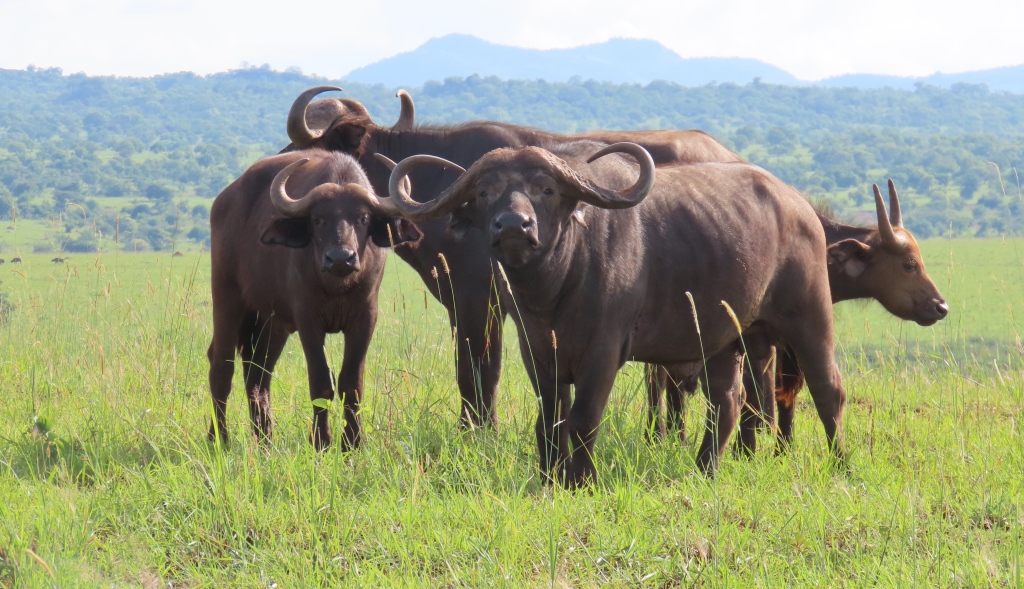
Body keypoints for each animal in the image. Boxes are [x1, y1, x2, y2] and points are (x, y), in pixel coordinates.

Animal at [206, 149, 419, 448]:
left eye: (363, 218)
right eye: (318, 219)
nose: (340, 258)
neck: (337, 286)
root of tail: (224, 201)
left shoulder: (365, 318)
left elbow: (352, 383)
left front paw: (352, 443)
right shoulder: (308, 319)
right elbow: (320, 381)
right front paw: (321, 441)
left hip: (272, 322)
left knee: (258, 373)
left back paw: (265, 439)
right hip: (227, 296)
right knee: (221, 367)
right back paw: (219, 439)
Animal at [385, 141, 847, 483]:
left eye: (546, 190)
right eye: (484, 192)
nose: (514, 225)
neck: (556, 290)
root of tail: (802, 209)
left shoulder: (604, 351)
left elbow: (584, 418)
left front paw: (580, 480)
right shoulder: (537, 351)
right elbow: (549, 420)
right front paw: (549, 477)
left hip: (810, 318)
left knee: (828, 389)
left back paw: (840, 463)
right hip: (727, 338)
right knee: (728, 402)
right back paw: (705, 470)